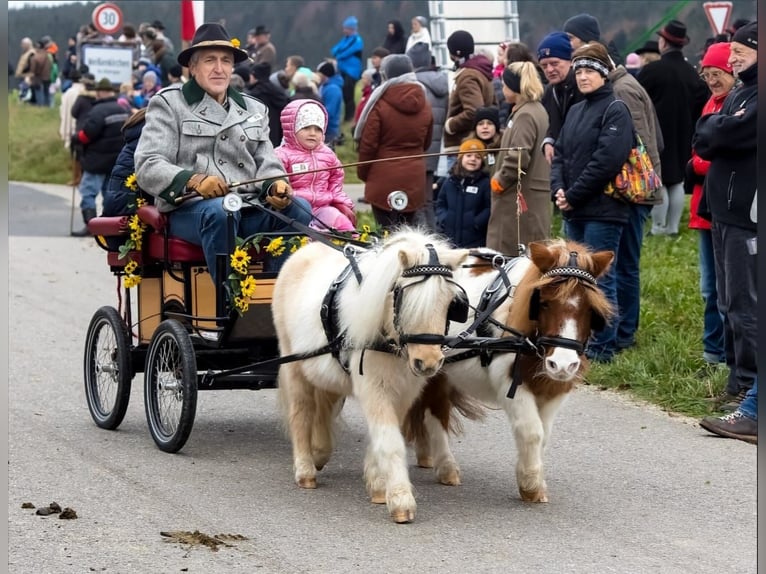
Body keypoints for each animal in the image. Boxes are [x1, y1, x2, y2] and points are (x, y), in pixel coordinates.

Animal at [270, 227, 474, 524]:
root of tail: (304, 250)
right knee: (302, 412)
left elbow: (384, 437)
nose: (428, 362)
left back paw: (320, 452)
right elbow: (390, 441)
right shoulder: (374, 389)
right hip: (294, 366)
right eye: (403, 296)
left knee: (324, 406)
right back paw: (305, 469)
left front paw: (378, 485)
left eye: (451, 303)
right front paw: (400, 500)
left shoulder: (404, 391)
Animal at [404, 238, 616, 504]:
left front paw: (536, 480)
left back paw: (426, 453)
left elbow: (544, 434)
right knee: (436, 411)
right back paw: (445, 465)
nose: (563, 364)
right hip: (432, 367)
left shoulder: (555, 389)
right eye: (544, 302)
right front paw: (530, 484)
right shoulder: (511, 384)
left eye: (590, 309)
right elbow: (532, 431)